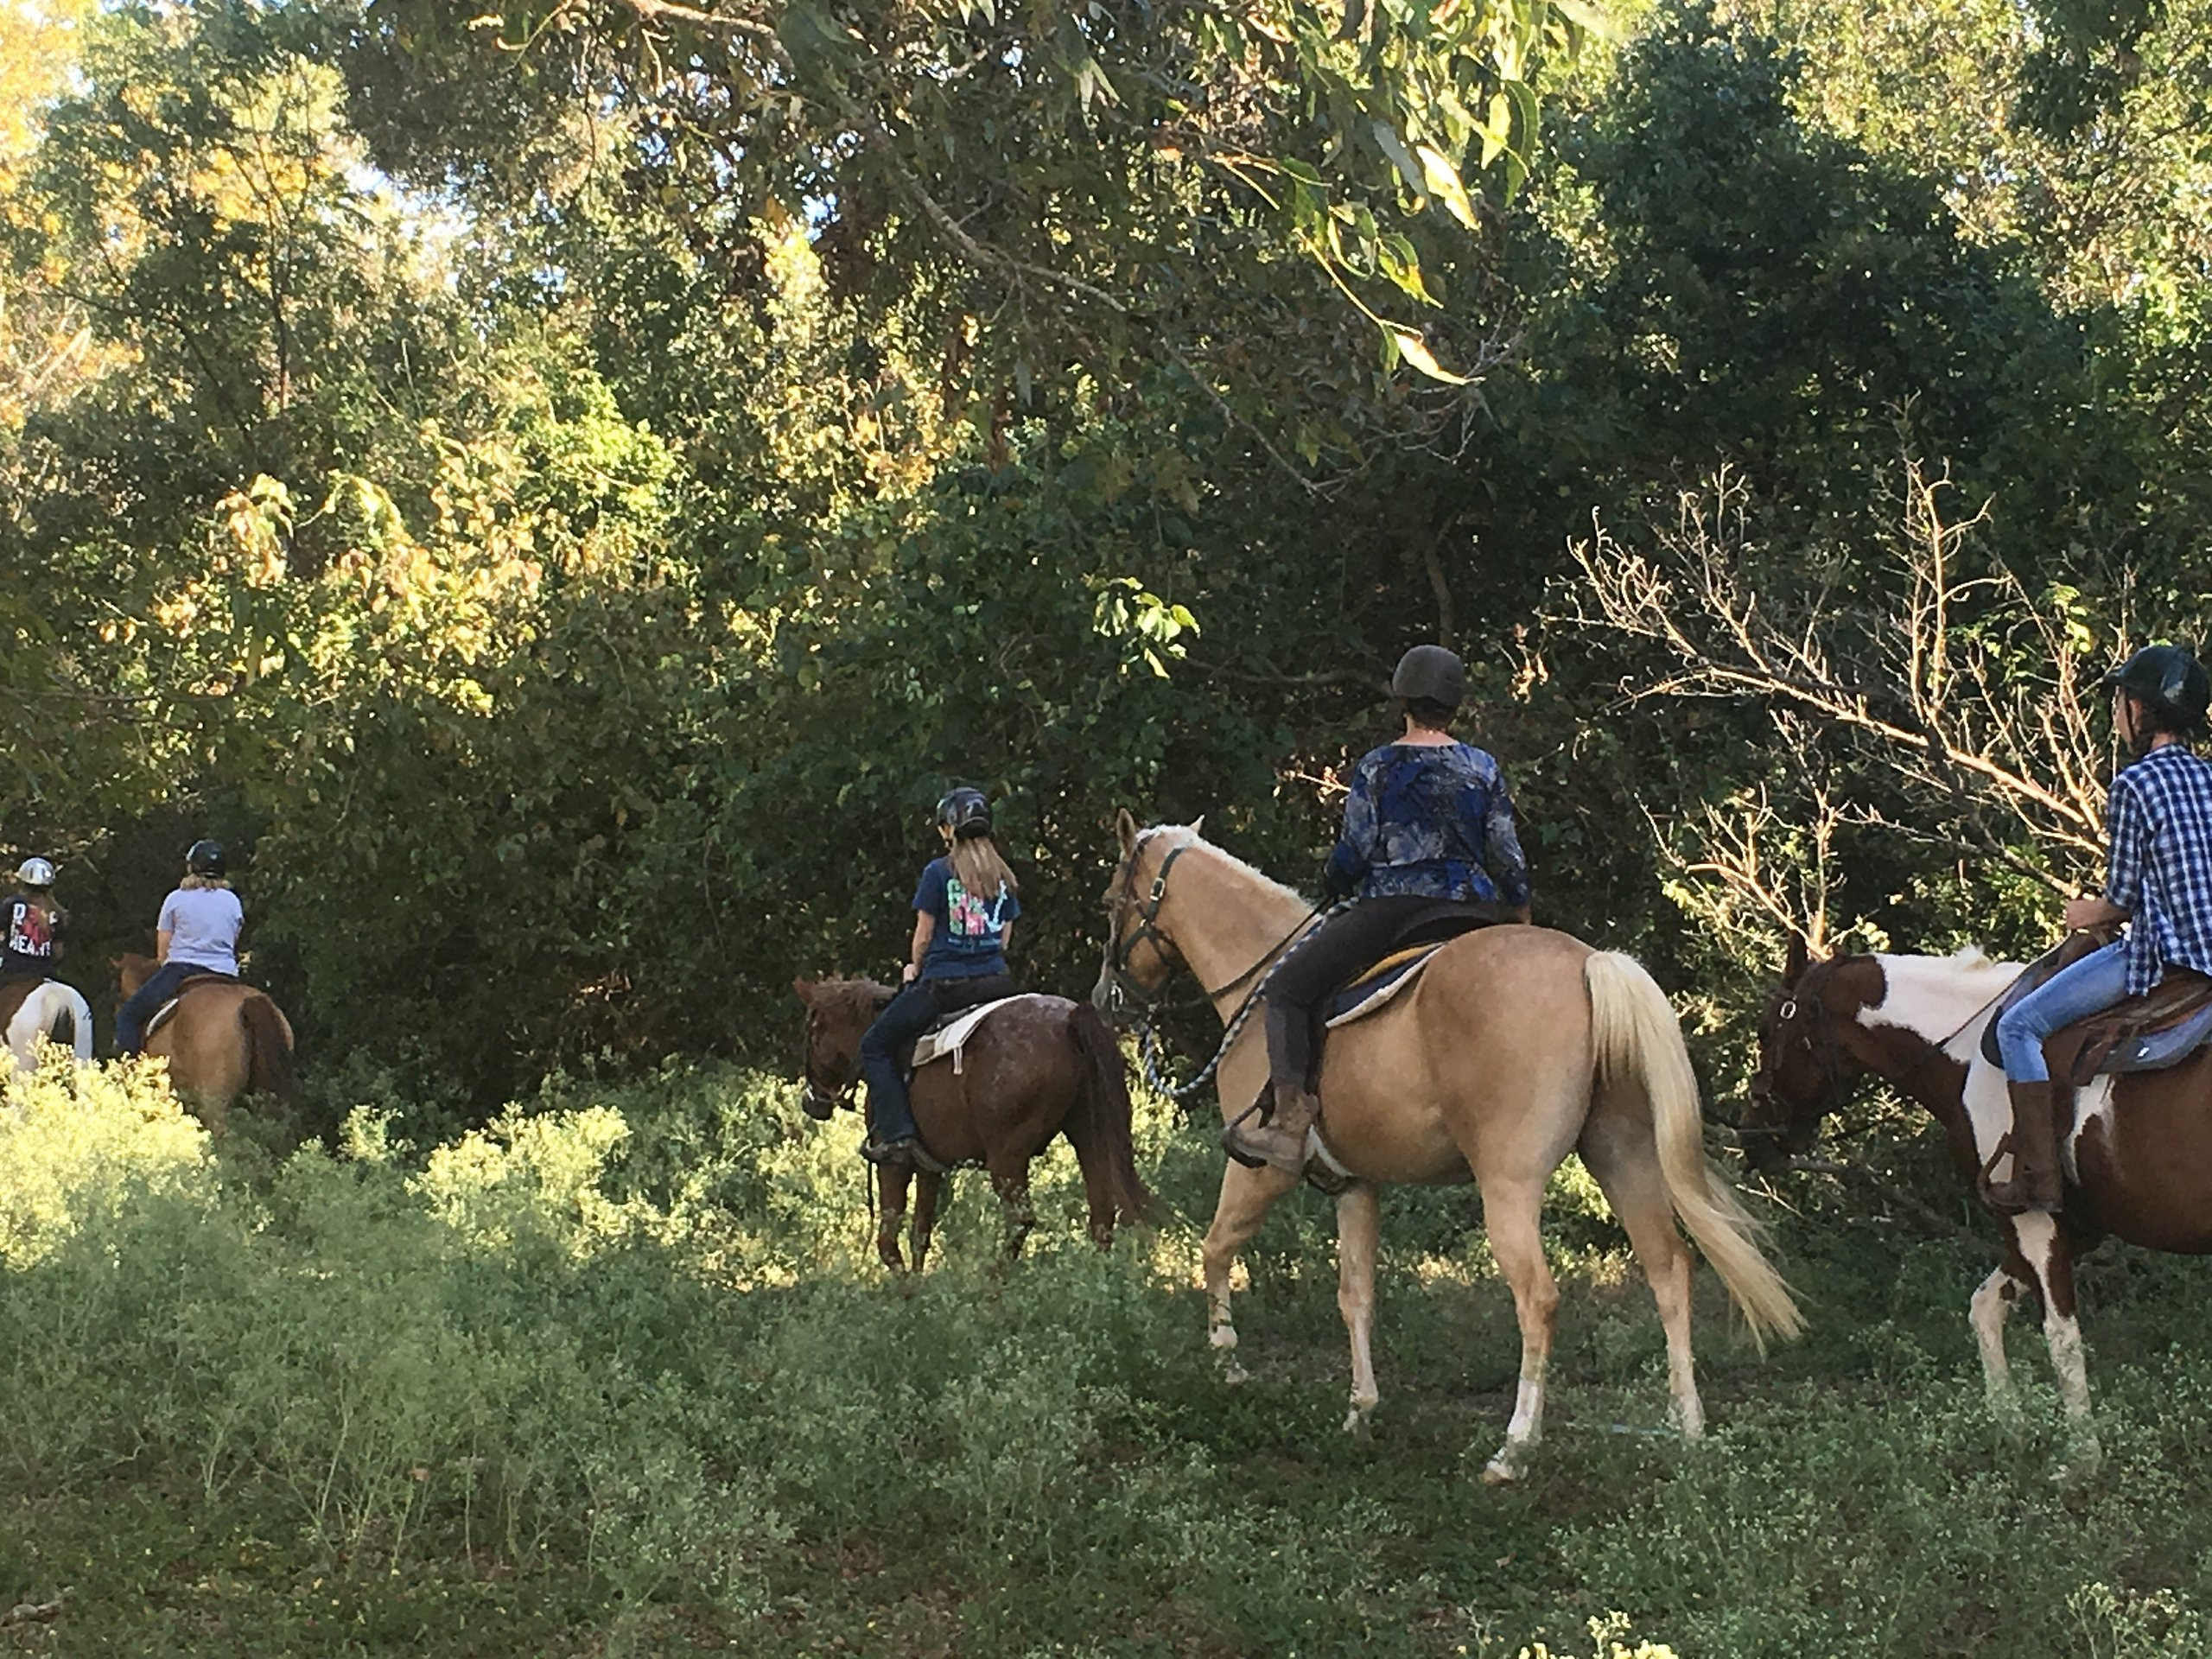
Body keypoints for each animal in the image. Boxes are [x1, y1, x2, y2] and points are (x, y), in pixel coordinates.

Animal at [791, 986, 1150, 1274]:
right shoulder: (930, 1167)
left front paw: (904, 1292)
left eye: (811, 1034)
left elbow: (888, 1239)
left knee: (1020, 1221)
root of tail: (1069, 1019)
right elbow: (920, 1232)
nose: (811, 1102)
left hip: (1007, 1158)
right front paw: (919, 1288)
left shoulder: (893, 1164)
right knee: (1102, 1216)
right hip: (1089, 1136)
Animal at [1088, 818, 1796, 1478]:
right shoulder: (1356, 1186)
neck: (1262, 984)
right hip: (1624, 1159)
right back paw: (1687, 1425)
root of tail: (1588, 964)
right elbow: (1356, 1295)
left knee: (1539, 1300)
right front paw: (1360, 1411)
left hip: (1508, 1186)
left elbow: (1214, 1250)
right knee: (1669, 1270)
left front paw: (1228, 1360)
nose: (1106, 1000)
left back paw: (1514, 1449)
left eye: (1111, 900)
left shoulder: (1261, 1172)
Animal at [1743, 942, 2212, 1478]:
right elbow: (1985, 1308)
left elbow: (2061, 1336)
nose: (1750, 1135)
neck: (1968, 1056)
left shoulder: (2032, 1223)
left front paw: (2082, 1459)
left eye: (1766, 1031)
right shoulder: (2066, 1232)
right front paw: (2010, 1428)